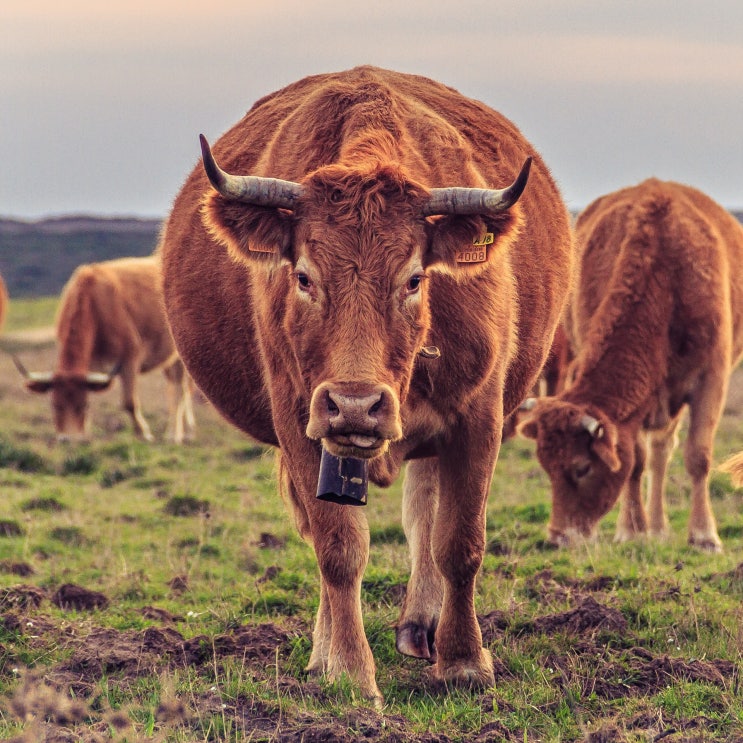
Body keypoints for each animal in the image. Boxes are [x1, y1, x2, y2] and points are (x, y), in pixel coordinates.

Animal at [16, 254, 196, 442]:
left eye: (83, 405)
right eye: (55, 405)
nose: (69, 439)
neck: (95, 305)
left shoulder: (129, 360)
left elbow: (129, 402)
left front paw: (143, 433)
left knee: (180, 391)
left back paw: (175, 434)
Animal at [160, 67, 572, 708]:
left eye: (414, 278)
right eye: (304, 277)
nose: (356, 405)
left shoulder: (479, 418)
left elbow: (459, 543)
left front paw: (463, 661)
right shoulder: (301, 422)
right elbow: (339, 550)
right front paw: (350, 673)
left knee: (423, 515)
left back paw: (421, 627)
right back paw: (325, 651)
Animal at [516, 179, 743, 552]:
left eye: (582, 468)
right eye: (547, 467)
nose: (558, 537)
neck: (665, 272)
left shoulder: (711, 378)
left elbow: (698, 456)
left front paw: (704, 536)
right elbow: (634, 462)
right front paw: (631, 530)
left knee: (664, 451)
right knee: (656, 454)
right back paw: (655, 527)